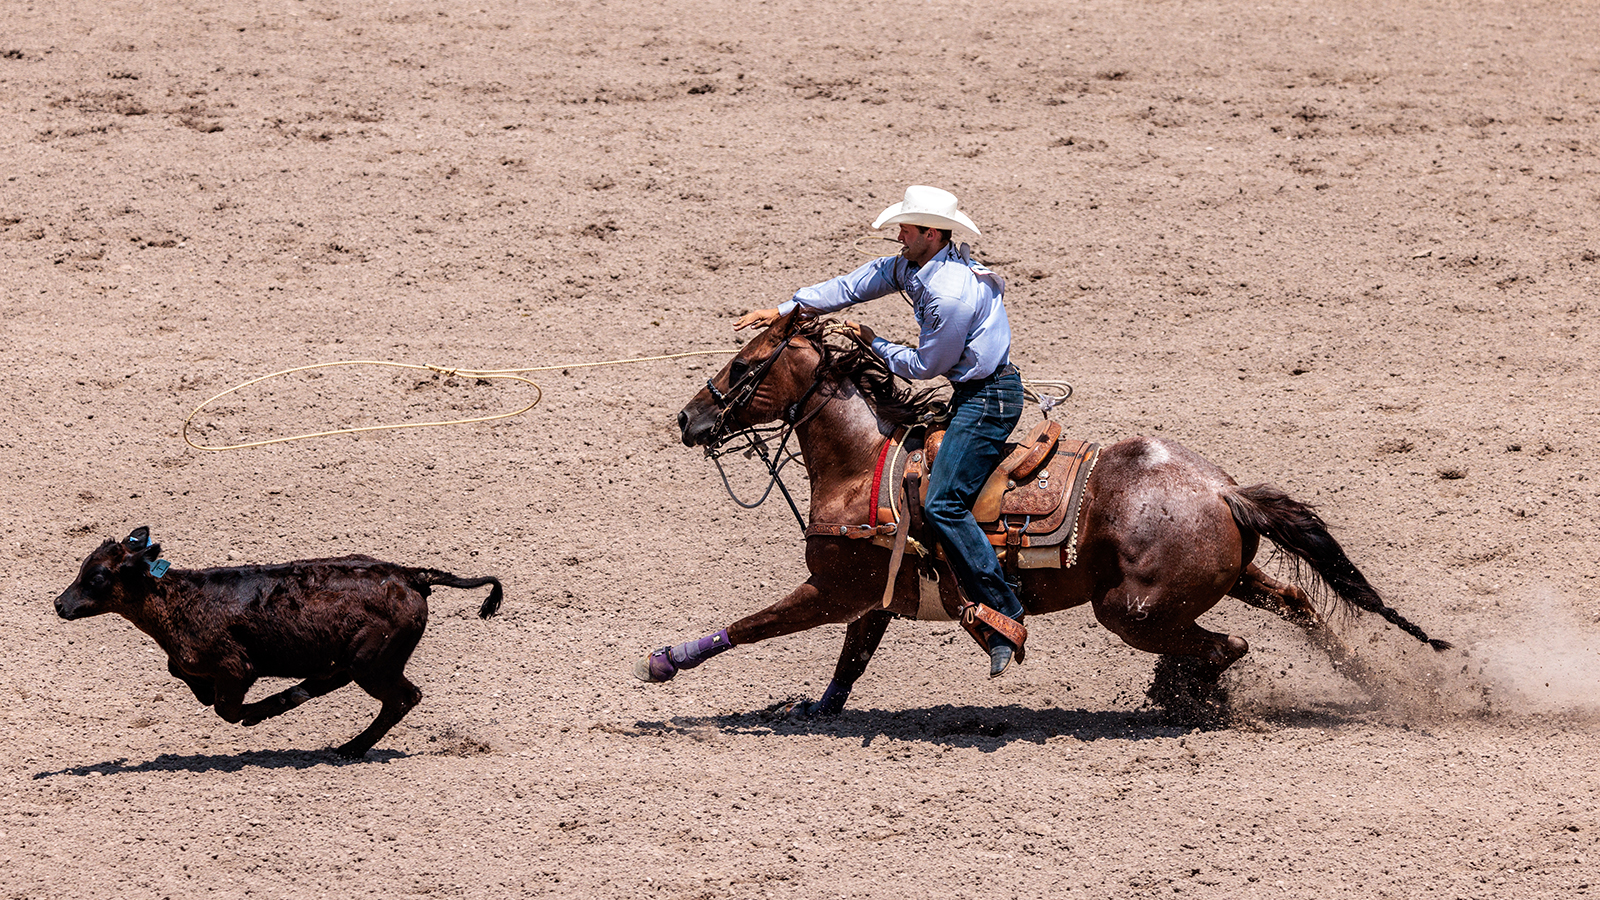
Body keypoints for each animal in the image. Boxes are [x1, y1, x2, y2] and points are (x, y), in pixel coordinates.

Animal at [633, 312, 1452, 717]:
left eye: (745, 367)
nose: (687, 418)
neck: (866, 465)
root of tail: (1225, 491)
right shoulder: (876, 596)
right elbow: (851, 660)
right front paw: (814, 709)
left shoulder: (835, 587)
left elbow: (755, 624)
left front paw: (665, 662)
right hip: (1224, 579)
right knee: (1294, 606)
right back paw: (1386, 692)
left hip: (1130, 609)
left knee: (1226, 645)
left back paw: (1181, 697)